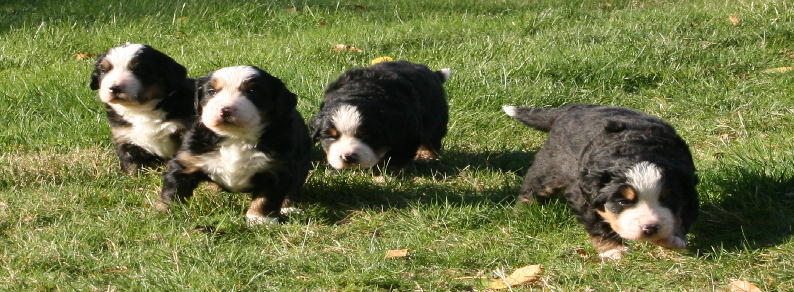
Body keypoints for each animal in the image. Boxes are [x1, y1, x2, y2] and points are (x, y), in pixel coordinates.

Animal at [89, 43, 194, 175]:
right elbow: (131, 164)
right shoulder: (124, 137)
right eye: (104, 70)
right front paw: (132, 176)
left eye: (138, 70)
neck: (141, 110)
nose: (114, 88)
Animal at [308, 60, 448, 170]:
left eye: (366, 136)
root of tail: (433, 73)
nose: (348, 156)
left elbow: (400, 154)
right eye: (331, 136)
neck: (358, 92)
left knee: (432, 139)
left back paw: (428, 155)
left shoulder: (408, 131)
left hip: (436, 116)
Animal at [504, 104, 696, 260]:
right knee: (533, 186)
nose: (650, 227)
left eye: (666, 199)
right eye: (623, 202)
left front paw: (672, 238)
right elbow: (597, 224)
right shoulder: (583, 195)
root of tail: (569, 108)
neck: (639, 150)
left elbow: (681, 216)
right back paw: (523, 210)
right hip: (551, 166)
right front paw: (613, 251)